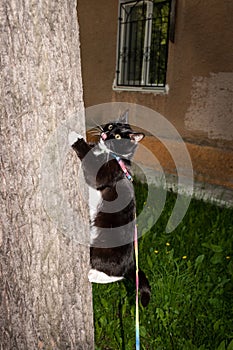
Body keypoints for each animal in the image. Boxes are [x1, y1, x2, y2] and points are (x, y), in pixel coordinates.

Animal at [68, 111, 151, 306]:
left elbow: (91, 163)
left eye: (119, 137)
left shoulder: (104, 173)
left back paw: (91, 275)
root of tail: (131, 264)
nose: (106, 134)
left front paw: (73, 135)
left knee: (113, 273)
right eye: (112, 126)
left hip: (102, 249)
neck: (113, 156)